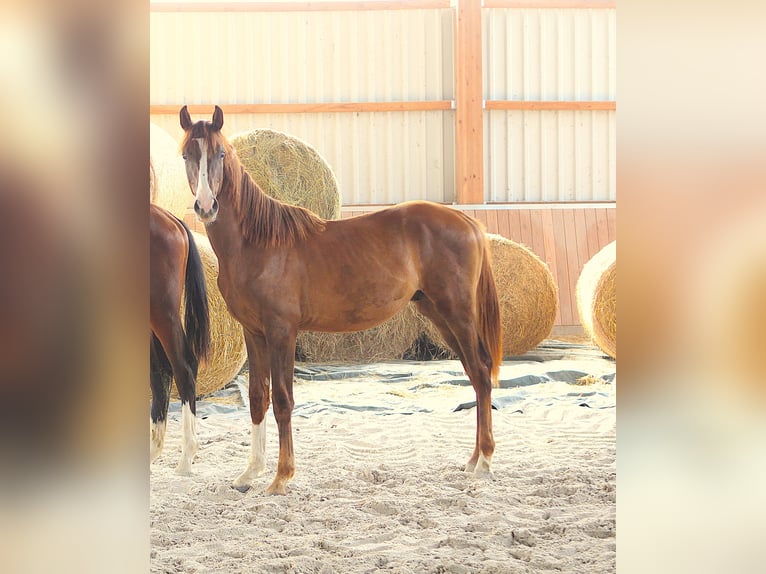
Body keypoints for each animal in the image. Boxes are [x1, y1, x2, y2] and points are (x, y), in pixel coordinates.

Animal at [179, 105, 502, 495]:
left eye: (221, 155)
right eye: (187, 155)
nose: (206, 206)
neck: (258, 244)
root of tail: (466, 221)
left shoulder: (281, 331)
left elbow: (283, 399)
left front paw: (281, 476)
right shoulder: (253, 332)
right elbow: (257, 397)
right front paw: (250, 473)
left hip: (458, 312)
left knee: (481, 373)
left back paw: (484, 463)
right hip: (439, 313)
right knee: (473, 373)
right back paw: (473, 460)